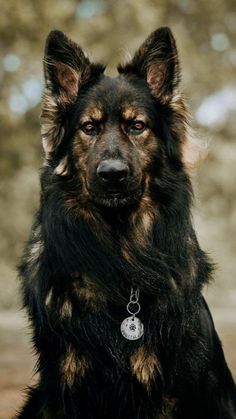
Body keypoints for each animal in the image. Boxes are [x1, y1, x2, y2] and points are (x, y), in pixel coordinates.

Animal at [17, 27, 236, 418]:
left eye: (137, 126)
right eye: (89, 127)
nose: (113, 175)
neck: (120, 254)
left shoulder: (163, 388)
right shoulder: (67, 383)